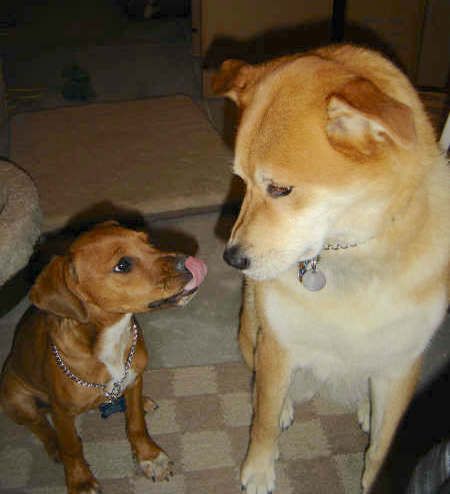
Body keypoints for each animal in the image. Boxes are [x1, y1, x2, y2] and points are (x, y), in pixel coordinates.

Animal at [0, 223, 207, 494]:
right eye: (123, 265)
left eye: (149, 241)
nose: (189, 261)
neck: (113, 338)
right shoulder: (61, 411)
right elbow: (72, 448)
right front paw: (80, 480)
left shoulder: (134, 379)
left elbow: (136, 424)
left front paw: (149, 457)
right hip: (16, 398)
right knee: (38, 423)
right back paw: (53, 445)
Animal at [213, 43, 448, 494]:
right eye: (241, 181)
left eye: (280, 188)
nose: (232, 259)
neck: (350, 256)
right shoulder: (279, 344)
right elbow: (264, 421)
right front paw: (259, 470)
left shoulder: (403, 361)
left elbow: (383, 446)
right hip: (251, 331)